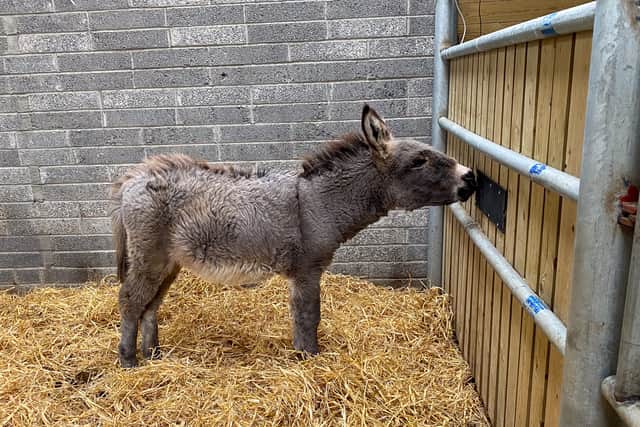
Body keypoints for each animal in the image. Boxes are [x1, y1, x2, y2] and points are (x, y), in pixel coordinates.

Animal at [110, 104, 477, 367]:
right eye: (419, 161)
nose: (471, 178)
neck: (317, 201)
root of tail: (133, 177)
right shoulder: (307, 269)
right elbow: (308, 315)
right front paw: (308, 358)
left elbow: (302, 315)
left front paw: (303, 355)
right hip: (150, 257)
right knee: (130, 301)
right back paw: (129, 361)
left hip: (169, 262)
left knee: (150, 305)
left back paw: (154, 356)